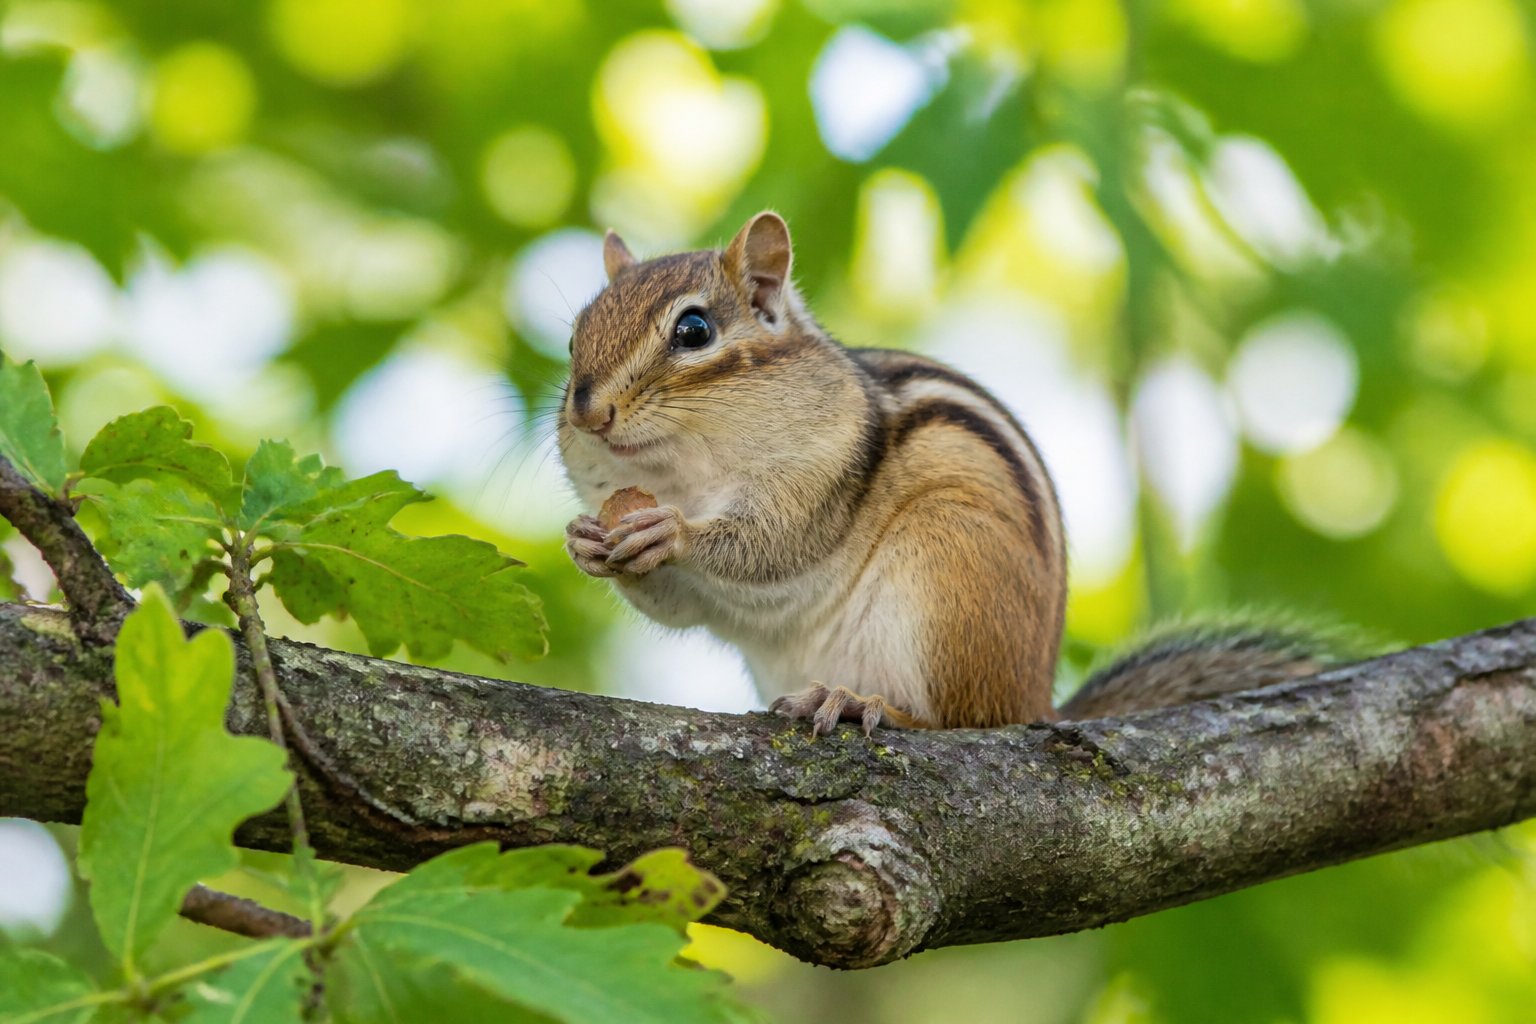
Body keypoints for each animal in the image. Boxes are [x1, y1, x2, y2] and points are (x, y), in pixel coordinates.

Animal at [558, 212, 1330, 734]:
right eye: (574, 339)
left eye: (694, 331)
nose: (588, 411)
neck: (686, 471)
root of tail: (1036, 703)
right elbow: (681, 604)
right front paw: (588, 543)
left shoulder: (825, 471)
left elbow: (773, 546)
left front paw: (672, 532)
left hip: (949, 571)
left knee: (959, 722)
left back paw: (861, 704)